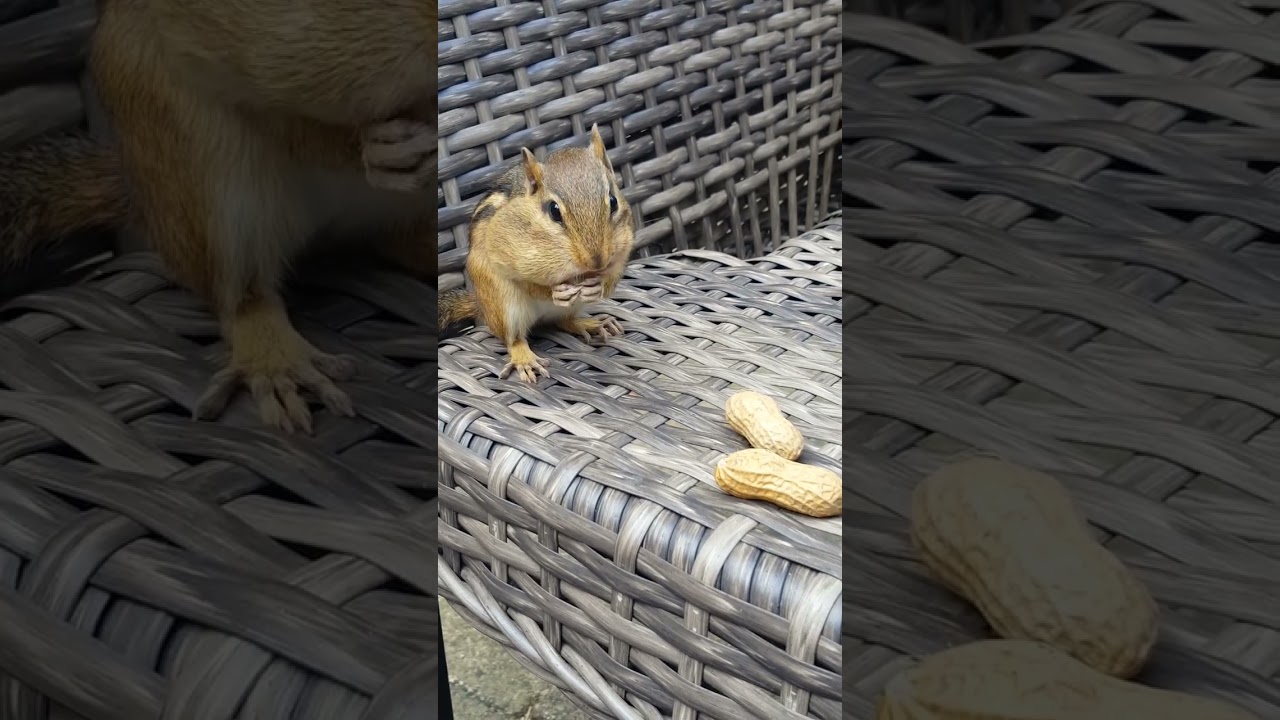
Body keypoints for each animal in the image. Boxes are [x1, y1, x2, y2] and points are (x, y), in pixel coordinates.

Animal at [0, 0, 433, 434]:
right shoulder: (237, 36)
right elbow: (288, 122)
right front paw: (378, 149)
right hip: (196, 164)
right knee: (240, 294)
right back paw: (271, 353)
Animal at [439, 125, 634, 382]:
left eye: (613, 201)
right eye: (554, 211)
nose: (596, 261)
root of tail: (482, 306)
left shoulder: (622, 251)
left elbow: (613, 275)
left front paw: (598, 285)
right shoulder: (500, 254)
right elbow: (527, 283)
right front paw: (555, 291)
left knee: (564, 321)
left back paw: (589, 324)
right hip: (503, 304)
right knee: (513, 338)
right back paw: (524, 357)